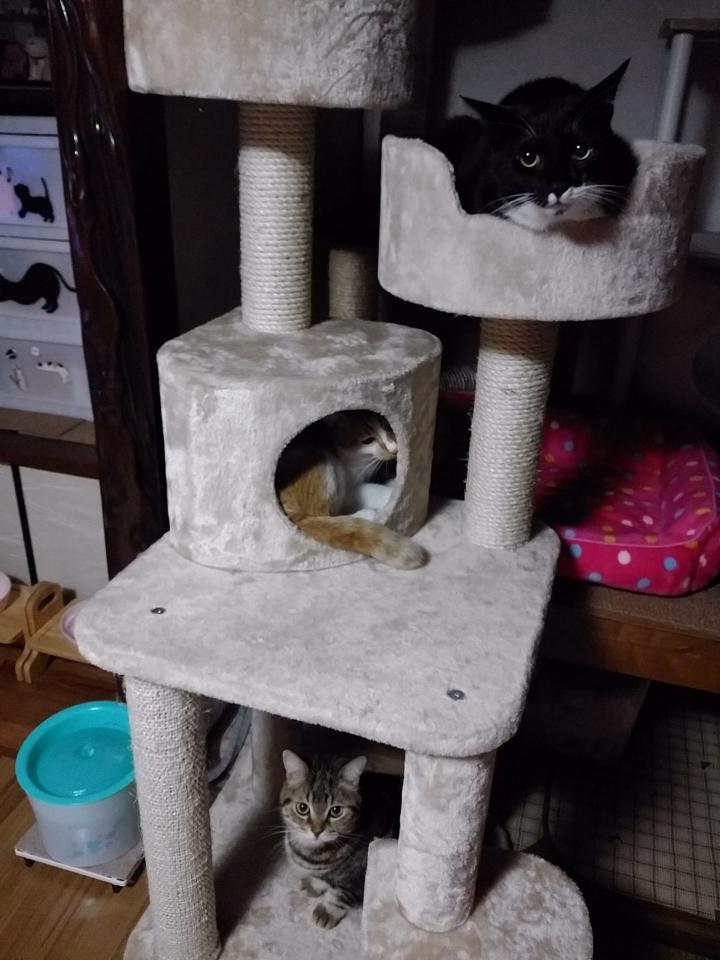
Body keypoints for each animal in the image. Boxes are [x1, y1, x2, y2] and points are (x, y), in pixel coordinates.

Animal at [276, 410, 427, 569]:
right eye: (368, 440)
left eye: (387, 426)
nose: (394, 448)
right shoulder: (349, 490)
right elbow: (372, 490)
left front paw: (394, 483)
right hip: (321, 462)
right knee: (326, 514)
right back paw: (365, 514)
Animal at [280, 750, 400, 929]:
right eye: (302, 808)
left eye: (336, 811)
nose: (316, 831)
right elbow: (324, 878)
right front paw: (315, 884)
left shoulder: (360, 877)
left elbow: (341, 894)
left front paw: (327, 910)